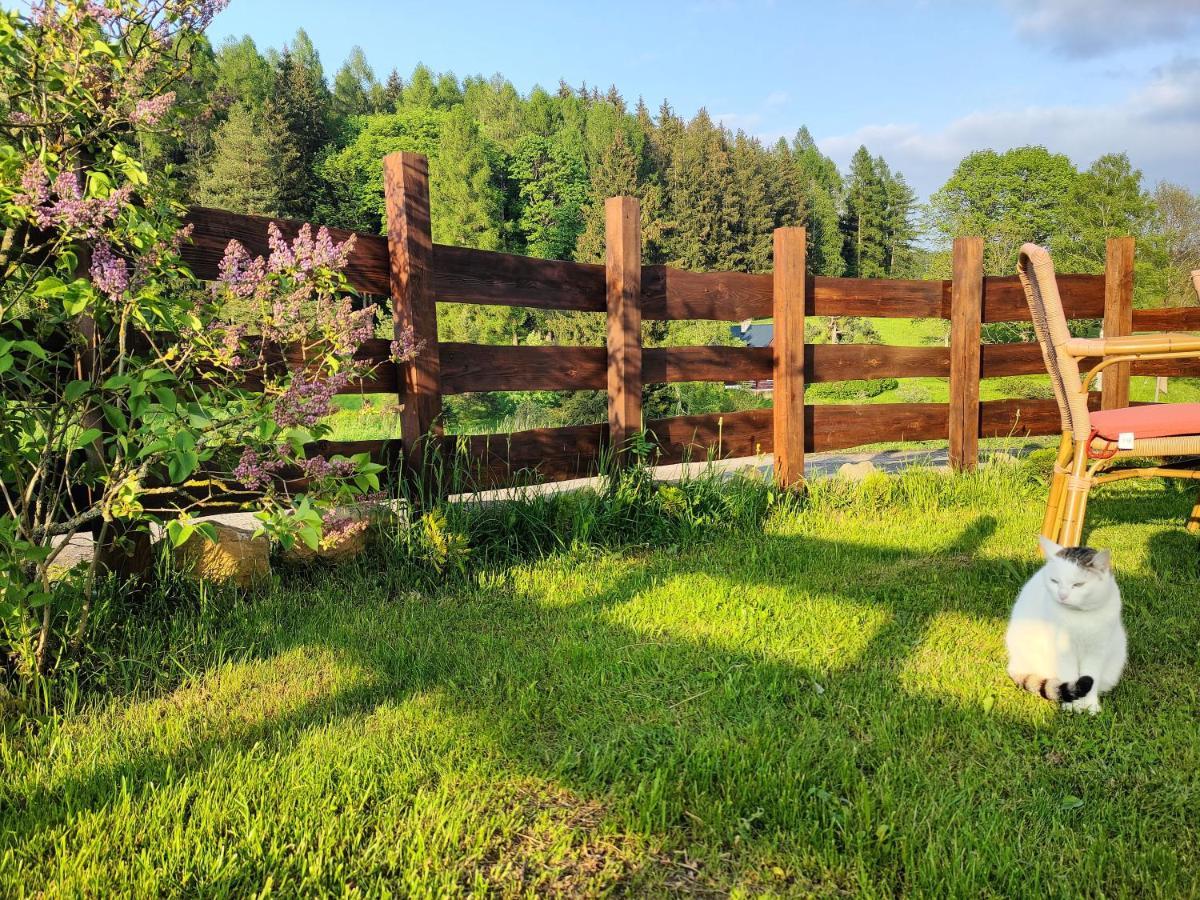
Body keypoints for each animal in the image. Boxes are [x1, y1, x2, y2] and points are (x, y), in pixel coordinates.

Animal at [1008, 540, 1128, 715]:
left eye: (1078, 584)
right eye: (1054, 581)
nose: (1062, 595)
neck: (1079, 617)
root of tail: (1014, 663)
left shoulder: (1097, 651)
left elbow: (1092, 676)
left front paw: (1090, 706)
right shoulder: (1064, 651)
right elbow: (1070, 676)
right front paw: (1073, 706)